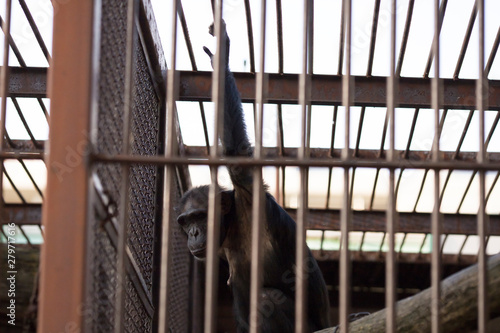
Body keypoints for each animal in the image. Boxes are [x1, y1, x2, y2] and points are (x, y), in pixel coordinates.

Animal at [176, 22, 332, 330]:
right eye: (186, 222)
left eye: (200, 216)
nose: (195, 232)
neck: (232, 223)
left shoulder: (249, 192)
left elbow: (235, 152)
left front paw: (220, 59)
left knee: (265, 300)